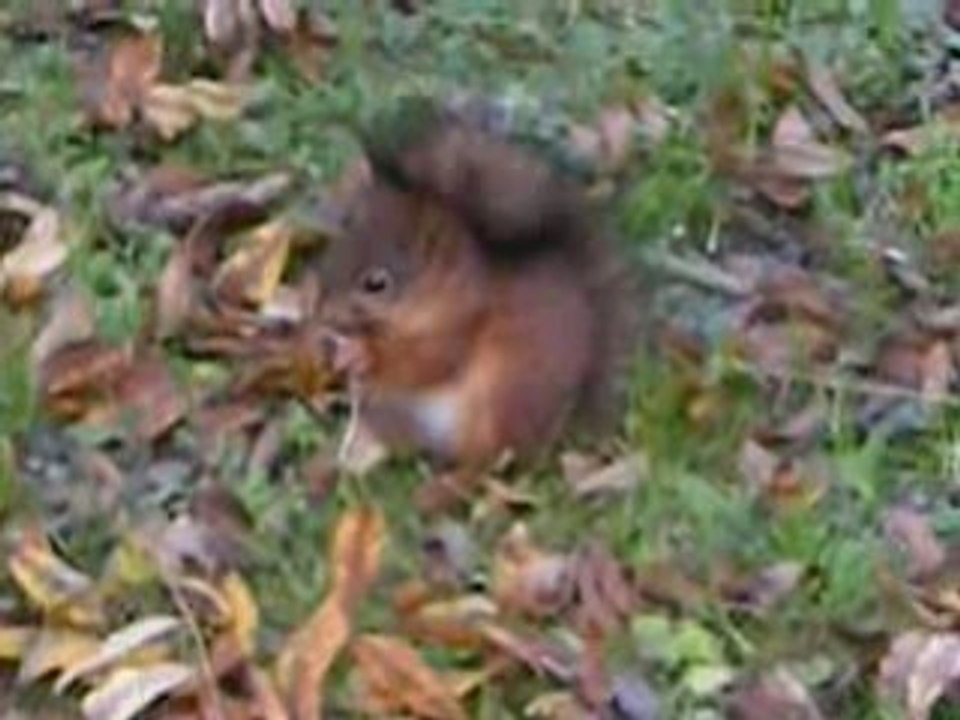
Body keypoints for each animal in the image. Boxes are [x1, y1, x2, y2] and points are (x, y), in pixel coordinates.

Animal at [317, 99, 637, 507]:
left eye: (377, 283)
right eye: (338, 245)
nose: (321, 313)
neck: (438, 297)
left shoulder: (460, 328)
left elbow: (425, 363)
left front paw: (364, 353)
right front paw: (340, 352)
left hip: (499, 404)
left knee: (490, 460)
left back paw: (439, 492)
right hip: (395, 411)